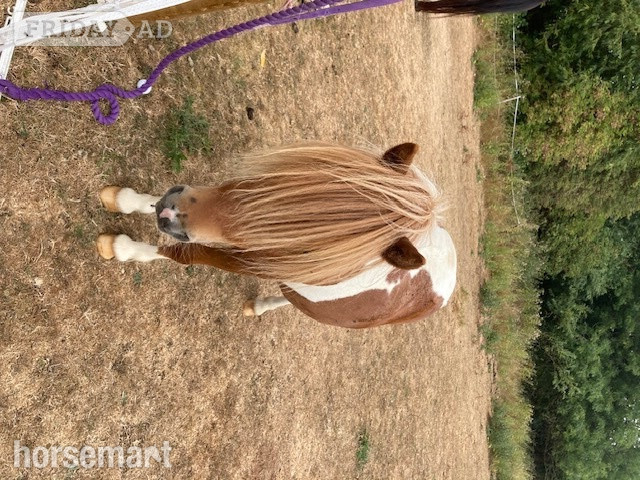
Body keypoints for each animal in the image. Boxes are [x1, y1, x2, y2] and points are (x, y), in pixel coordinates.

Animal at [96, 143, 457, 328]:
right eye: (290, 178)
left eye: (309, 250)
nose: (169, 212)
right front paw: (125, 199)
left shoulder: (245, 260)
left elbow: (185, 254)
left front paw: (122, 248)